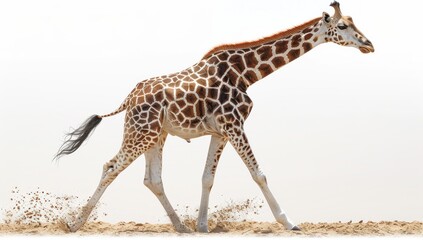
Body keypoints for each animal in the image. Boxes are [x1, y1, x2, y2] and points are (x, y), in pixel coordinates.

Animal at [55, 1, 374, 232]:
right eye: (342, 25)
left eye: (355, 23)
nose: (368, 44)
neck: (246, 74)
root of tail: (128, 98)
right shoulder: (234, 124)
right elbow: (258, 173)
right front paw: (289, 222)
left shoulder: (221, 131)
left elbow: (207, 177)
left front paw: (202, 225)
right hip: (140, 132)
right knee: (111, 167)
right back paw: (75, 223)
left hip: (156, 135)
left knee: (152, 179)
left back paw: (180, 226)